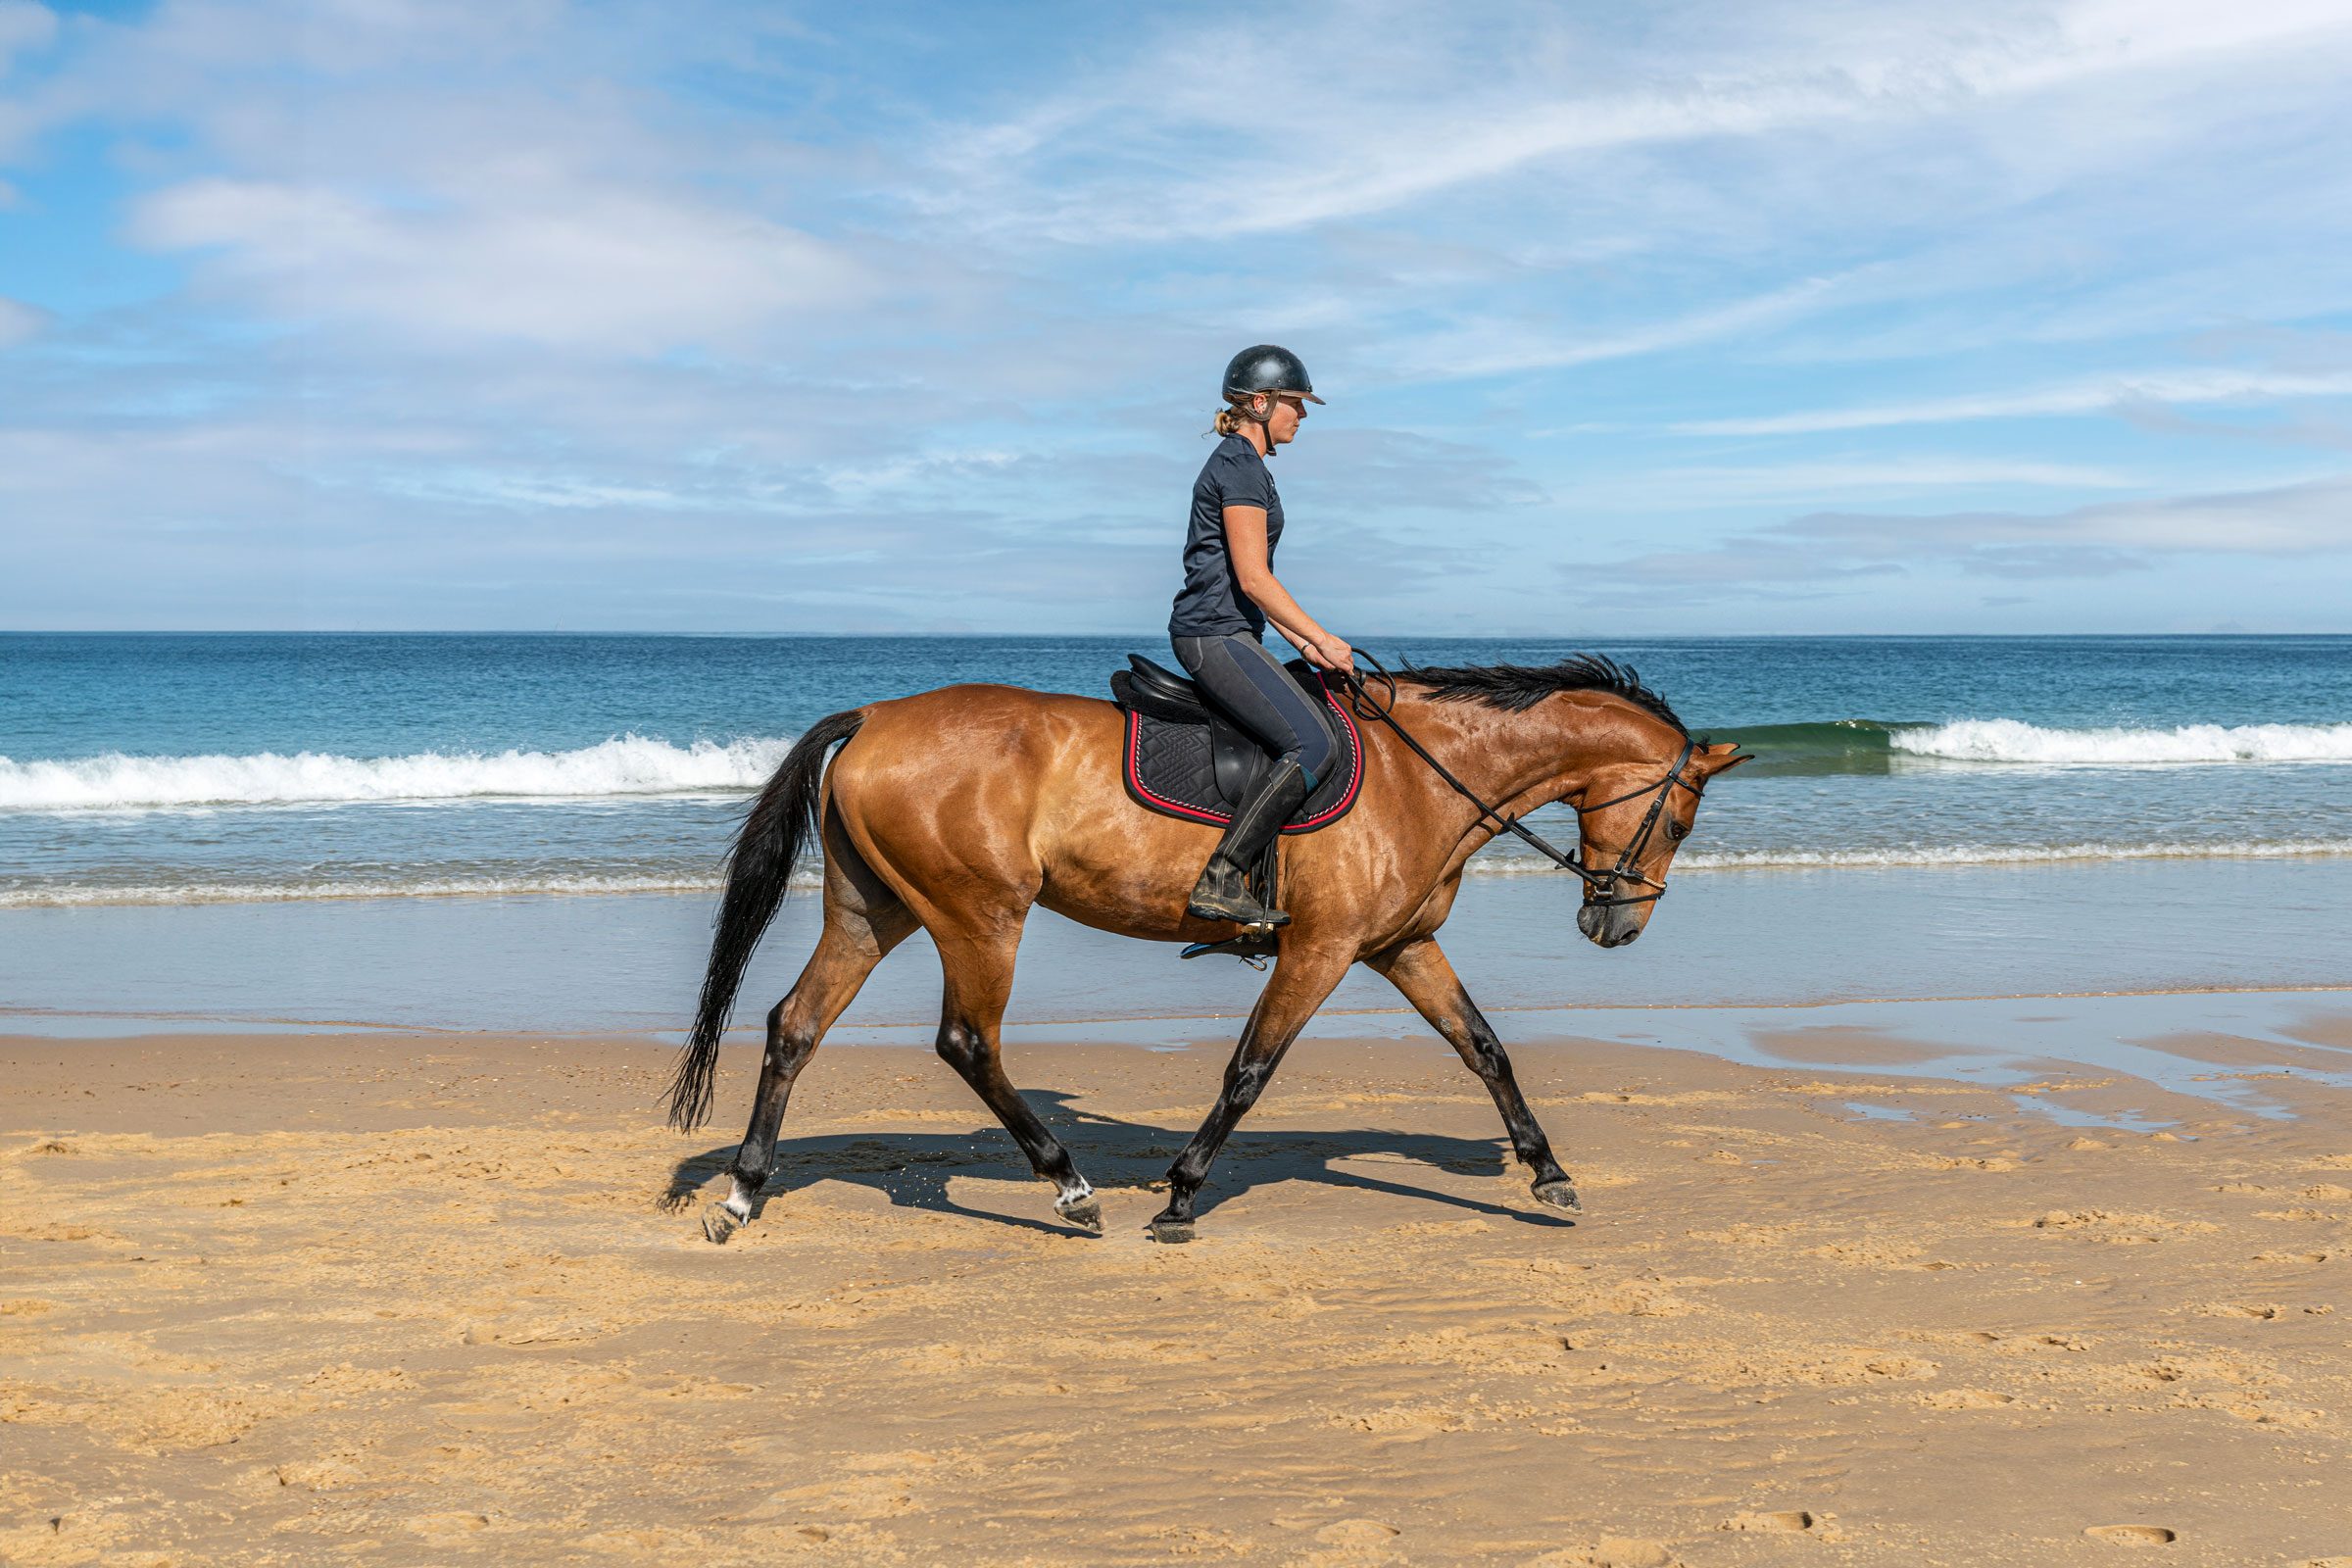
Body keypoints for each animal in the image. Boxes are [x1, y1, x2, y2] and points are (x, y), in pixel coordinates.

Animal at [667, 654, 1746, 1244]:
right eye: (1682, 818)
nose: (1616, 925)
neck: (1425, 772)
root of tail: (875, 718)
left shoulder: (1402, 945)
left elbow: (1485, 1047)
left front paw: (1548, 1172)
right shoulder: (1321, 949)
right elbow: (1249, 1070)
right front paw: (1180, 1197)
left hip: (875, 908)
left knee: (795, 1024)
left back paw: (744, 1194)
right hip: (980, 915)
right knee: (966, 1041)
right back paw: (1069, 1187)